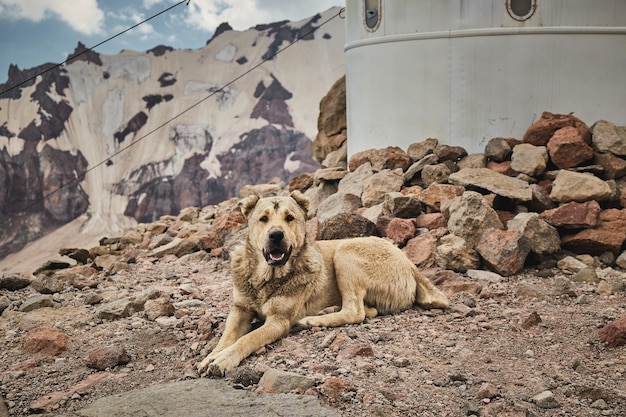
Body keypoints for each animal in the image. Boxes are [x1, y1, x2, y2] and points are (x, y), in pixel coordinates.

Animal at [197, 190, 446, 376]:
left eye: (290, 218)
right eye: (263, 219)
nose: (276, 235)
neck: (266, 278)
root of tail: (409, 262)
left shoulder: (279, 320)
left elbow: (247, 339)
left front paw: (224, 358)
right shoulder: (240, 308)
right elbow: (227, 336)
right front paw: (211, 356)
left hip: (345, 252)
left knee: (356, 312)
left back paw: (311, 320)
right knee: (368, 310)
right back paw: (325, 311)